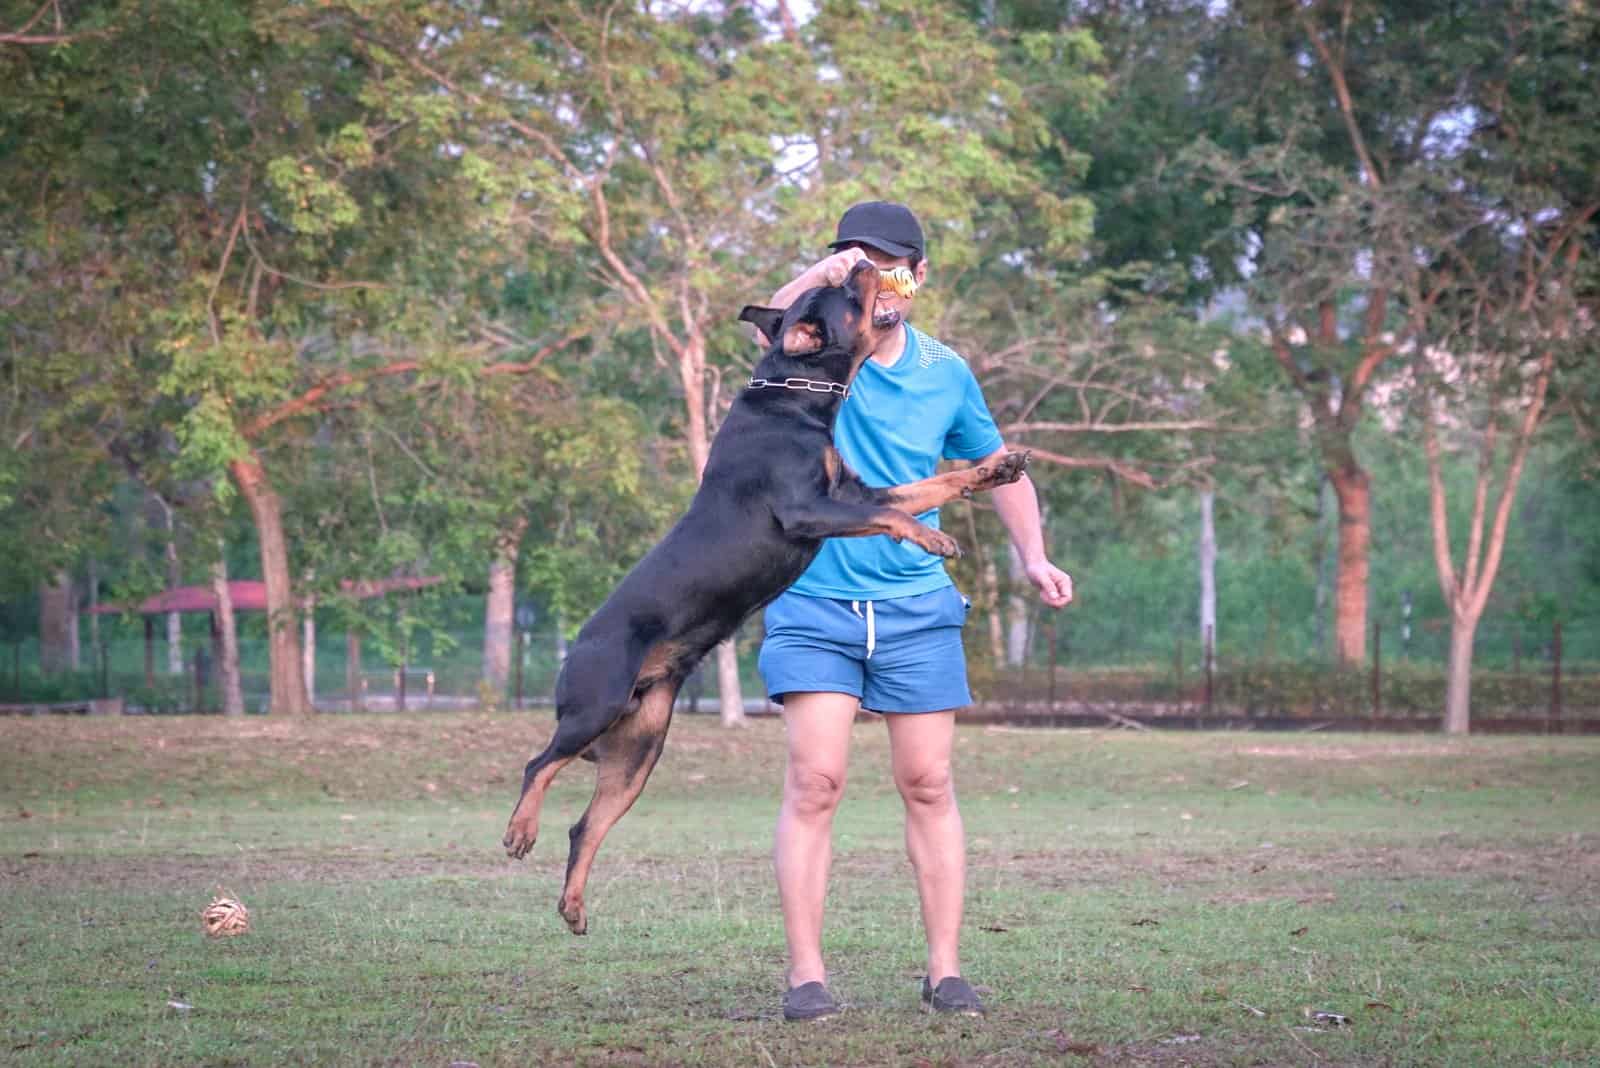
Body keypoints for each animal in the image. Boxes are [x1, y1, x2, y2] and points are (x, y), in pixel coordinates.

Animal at [505, 260, 1030, 933]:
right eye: (845, 295)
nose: (861, 264)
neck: (796, 393)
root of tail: (574, 649)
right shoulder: (811, 510)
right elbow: (898, 517)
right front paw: (935, 537)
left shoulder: (859, 493)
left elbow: (932, 483)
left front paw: (994, 470)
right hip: (593, 706)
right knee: (538, 764)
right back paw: (520, 831)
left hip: (639, 749)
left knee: (585, 825)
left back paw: (572, 905)